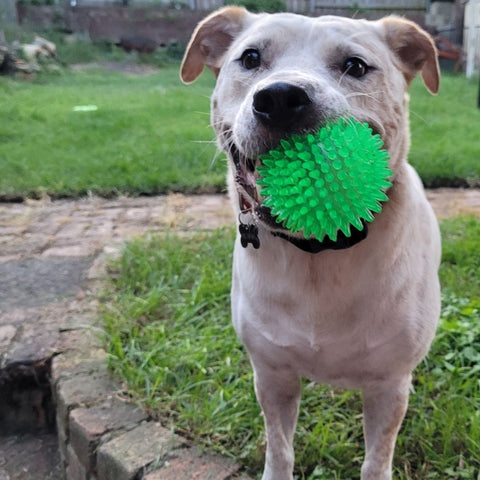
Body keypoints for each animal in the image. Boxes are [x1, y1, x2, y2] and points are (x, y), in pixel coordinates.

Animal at [181, 8, 442, 480]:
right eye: (250, 57)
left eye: (355, 65)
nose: (280, 97)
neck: (318, 255)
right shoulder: (272, 375)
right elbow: (280, 449)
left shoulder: (389, 385)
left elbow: (376, 460)